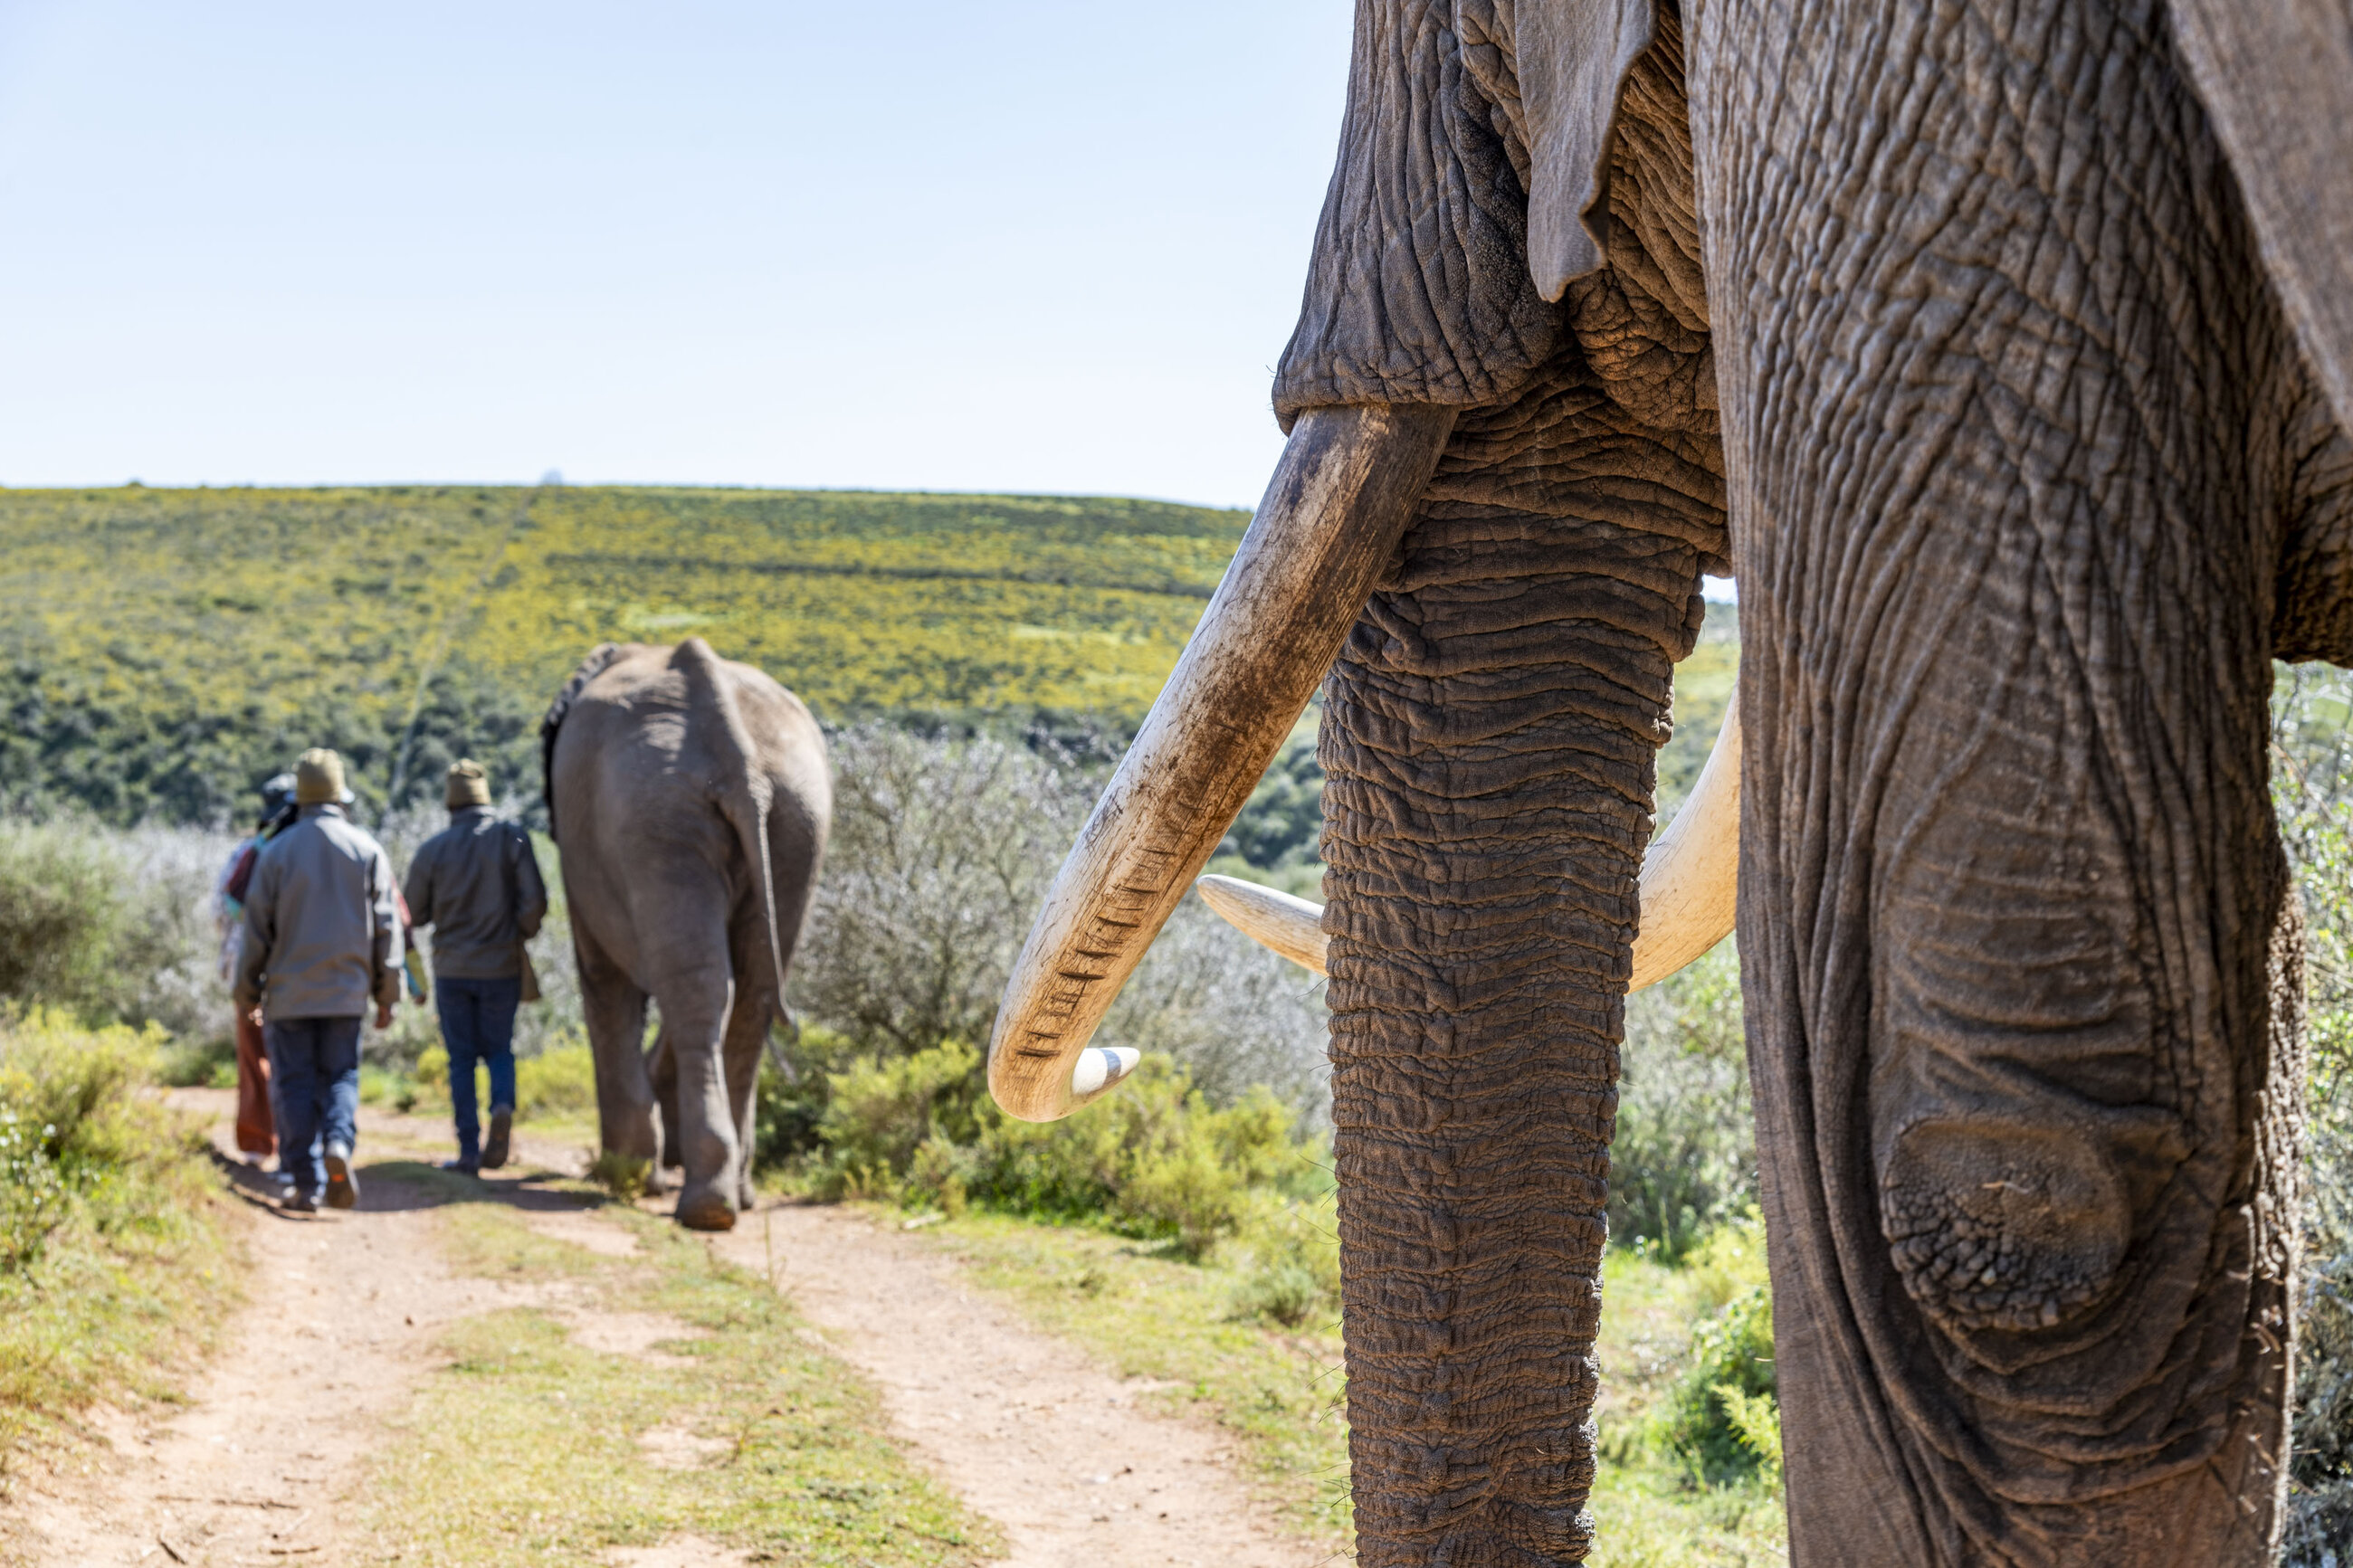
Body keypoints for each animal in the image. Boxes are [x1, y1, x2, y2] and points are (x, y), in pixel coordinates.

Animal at [542, 638, 830, 1231]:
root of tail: (733, 749)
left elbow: (603, 978)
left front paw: (625, 1174)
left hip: (655, 814)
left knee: (696, 987)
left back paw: (701, 1206)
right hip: (791, 819)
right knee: (747, 992)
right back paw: (730, 1197)